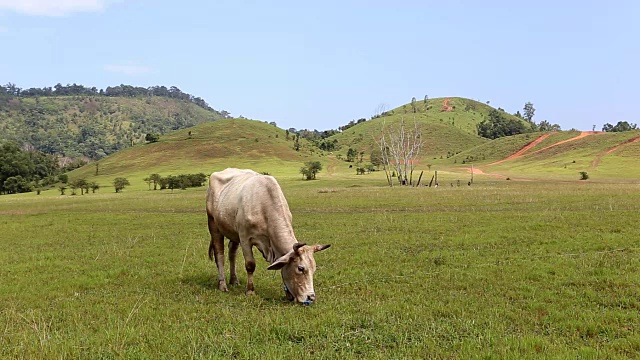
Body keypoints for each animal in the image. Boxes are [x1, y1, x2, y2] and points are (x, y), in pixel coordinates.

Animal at [208, 168, 332, 304]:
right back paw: (222, 285)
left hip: (233, 233)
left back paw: (234, 280)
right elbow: (250, 265)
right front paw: (250, 291)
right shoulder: (245, 238)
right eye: (300, 268)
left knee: (232, 253)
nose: (311, 297)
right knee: (220, 255)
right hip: (213, 225)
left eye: (314, 269)